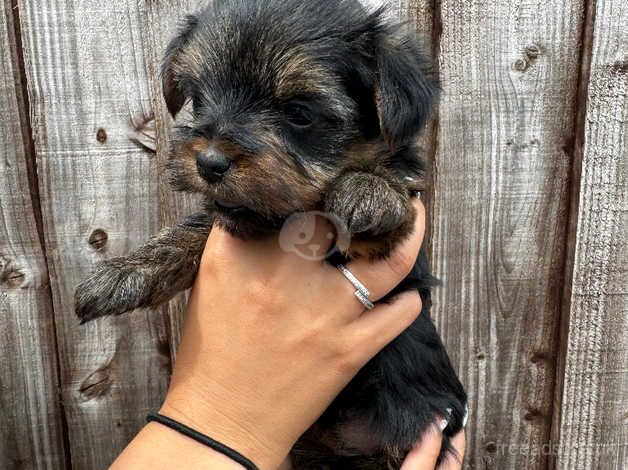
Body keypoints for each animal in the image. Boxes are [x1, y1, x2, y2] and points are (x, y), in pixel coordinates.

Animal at [75, 0, 466, 466]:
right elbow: (198, 227)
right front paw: (125, 272)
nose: (208, 162)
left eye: (299, 113)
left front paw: (370, 190)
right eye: (200, 98)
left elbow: (384, 213)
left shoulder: (403, 261)